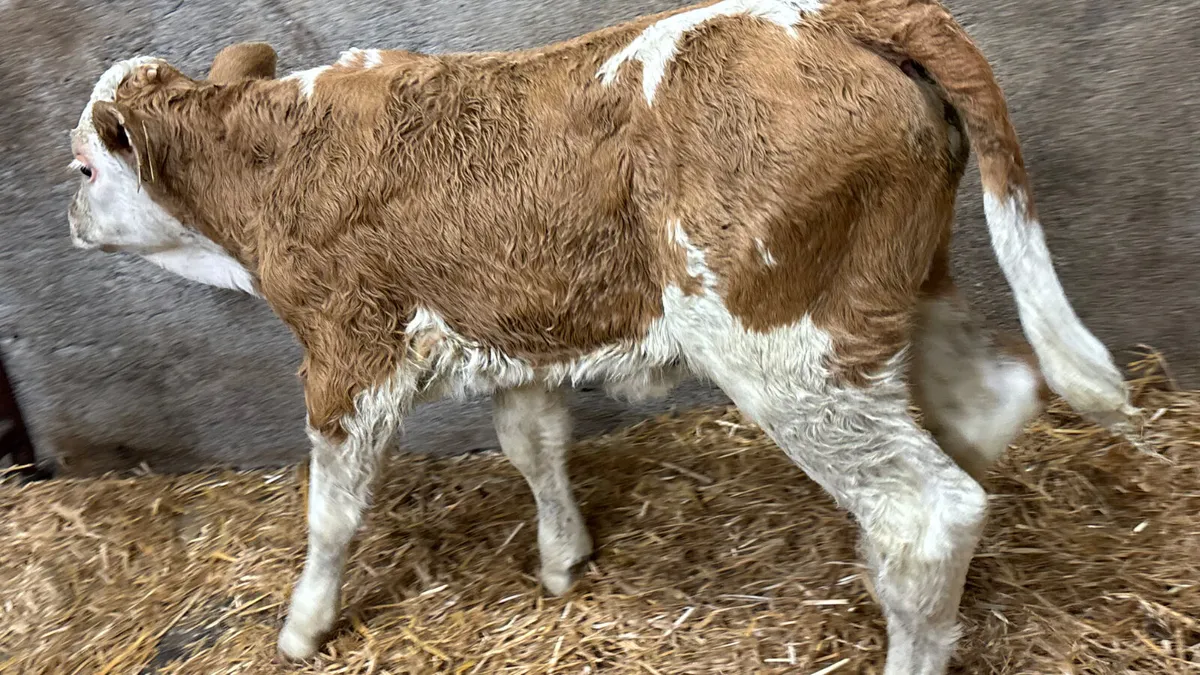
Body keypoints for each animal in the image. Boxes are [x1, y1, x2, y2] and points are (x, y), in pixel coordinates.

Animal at [65, 1, 1136, 672]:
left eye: (81, 168)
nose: (68, 219)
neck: (273, 156)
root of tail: (842, 14)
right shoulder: (510, 330)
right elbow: (534, 444)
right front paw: (562, 559)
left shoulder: (347, 354)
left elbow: (332, 512)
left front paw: (302, 626)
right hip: (902, 293)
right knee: (985, 408)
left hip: (788, 351)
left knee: (928, 508)